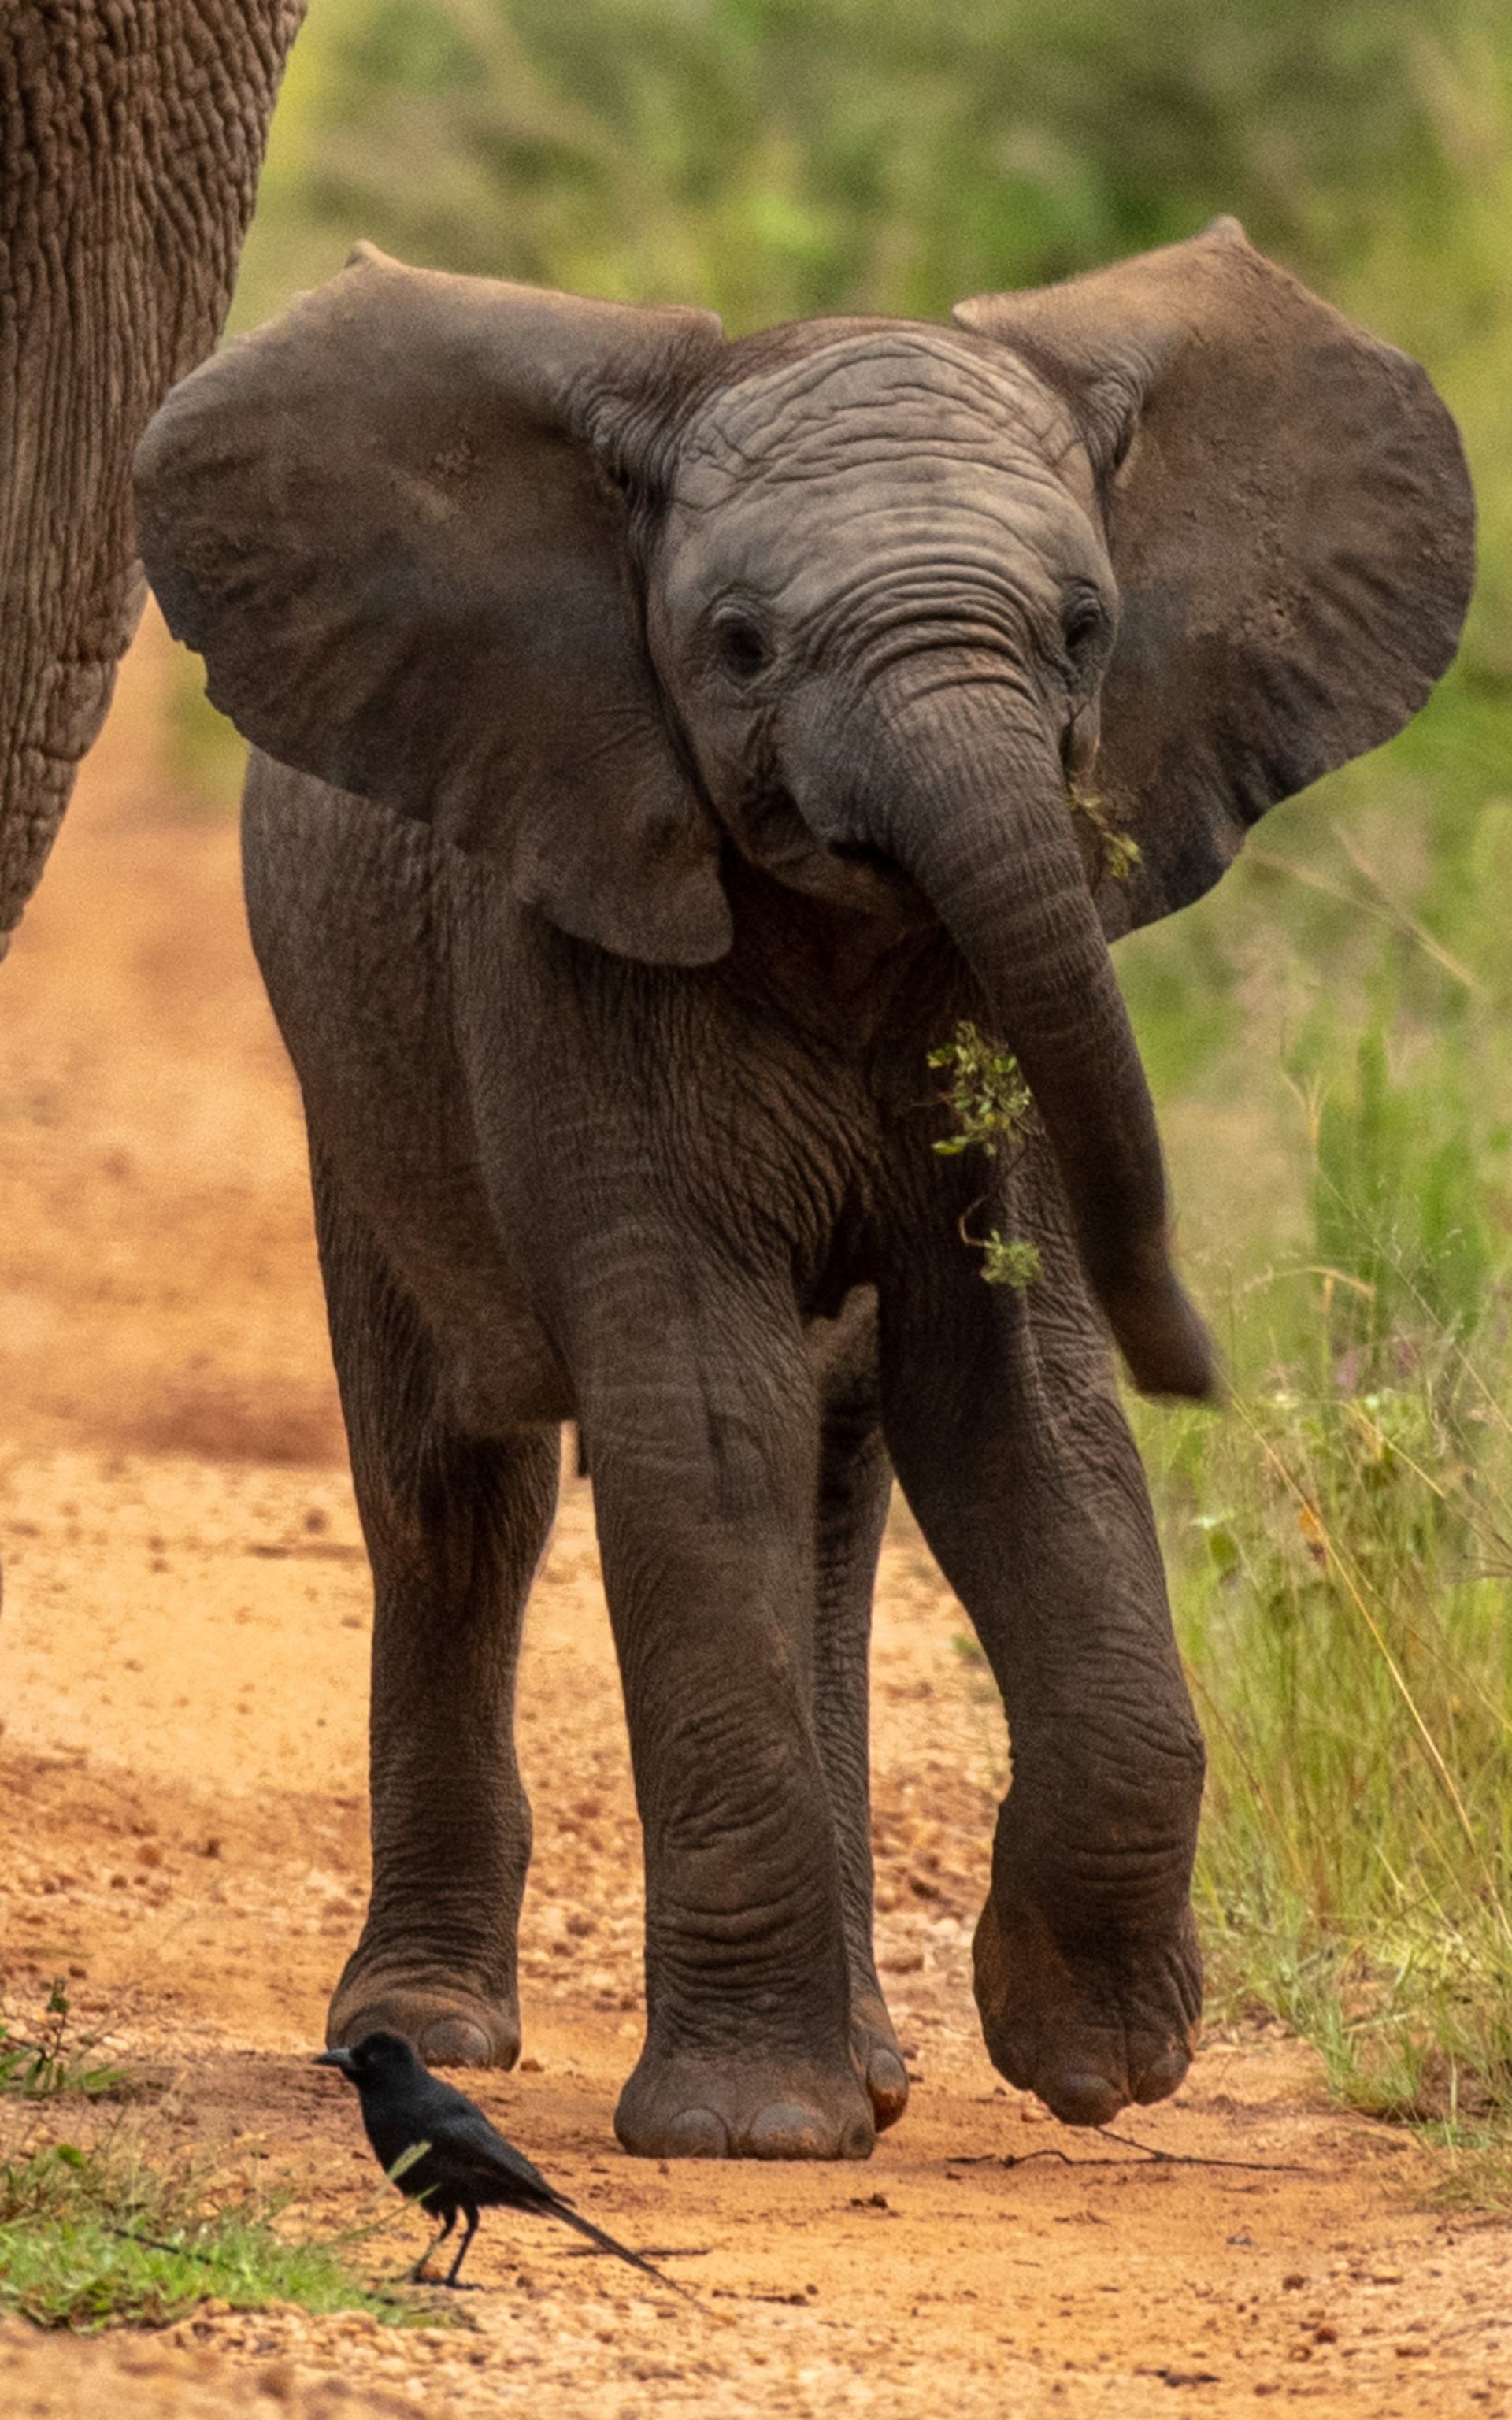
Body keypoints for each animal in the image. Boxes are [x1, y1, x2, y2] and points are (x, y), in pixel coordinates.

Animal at [134, 217, 1473, 2161]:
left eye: (1086, 631)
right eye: (740, 646)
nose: (1209, 1361)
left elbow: (1026, 1404)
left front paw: (1097, 2061)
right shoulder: (564, 937)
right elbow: (701, 1412)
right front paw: (750, 2133)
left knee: (835, 1506)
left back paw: (884, 2069)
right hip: (354, 1073)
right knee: (456, 1496)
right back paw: (437, 2031)